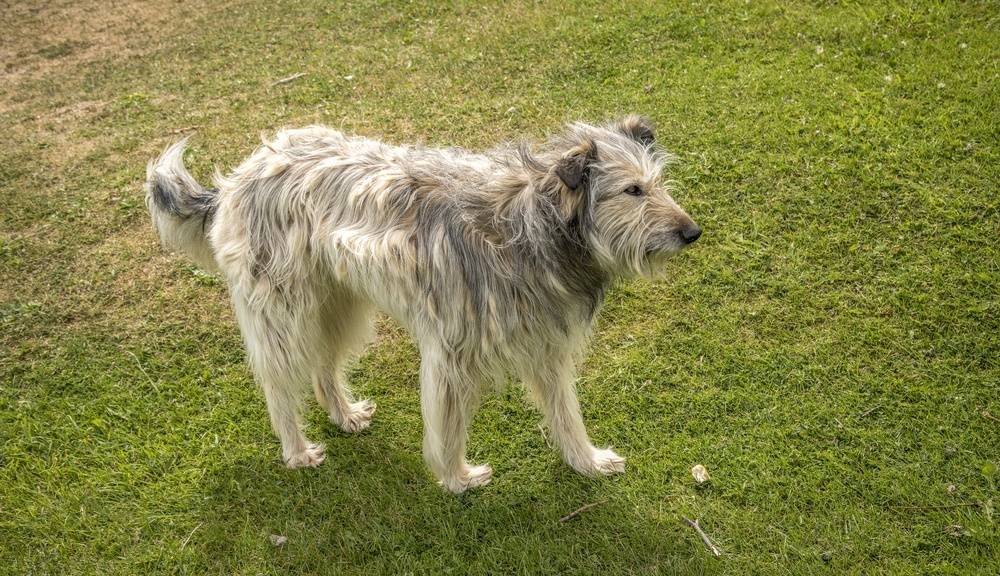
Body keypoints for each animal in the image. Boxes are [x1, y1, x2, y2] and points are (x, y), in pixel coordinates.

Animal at [145, 115, 700, 492]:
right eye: (632, 190)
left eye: (658, 183)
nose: (692, 232)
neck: (535, 222)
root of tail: (236, 179)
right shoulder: (452, 354)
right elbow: (448, 428)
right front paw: (457, 478)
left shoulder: (544, 343)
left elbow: (566, 413)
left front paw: (586, 461)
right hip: (284, 312)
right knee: (280, 385)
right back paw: (297, 450)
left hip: (338, 302)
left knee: (324, 365)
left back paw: (342, 414)